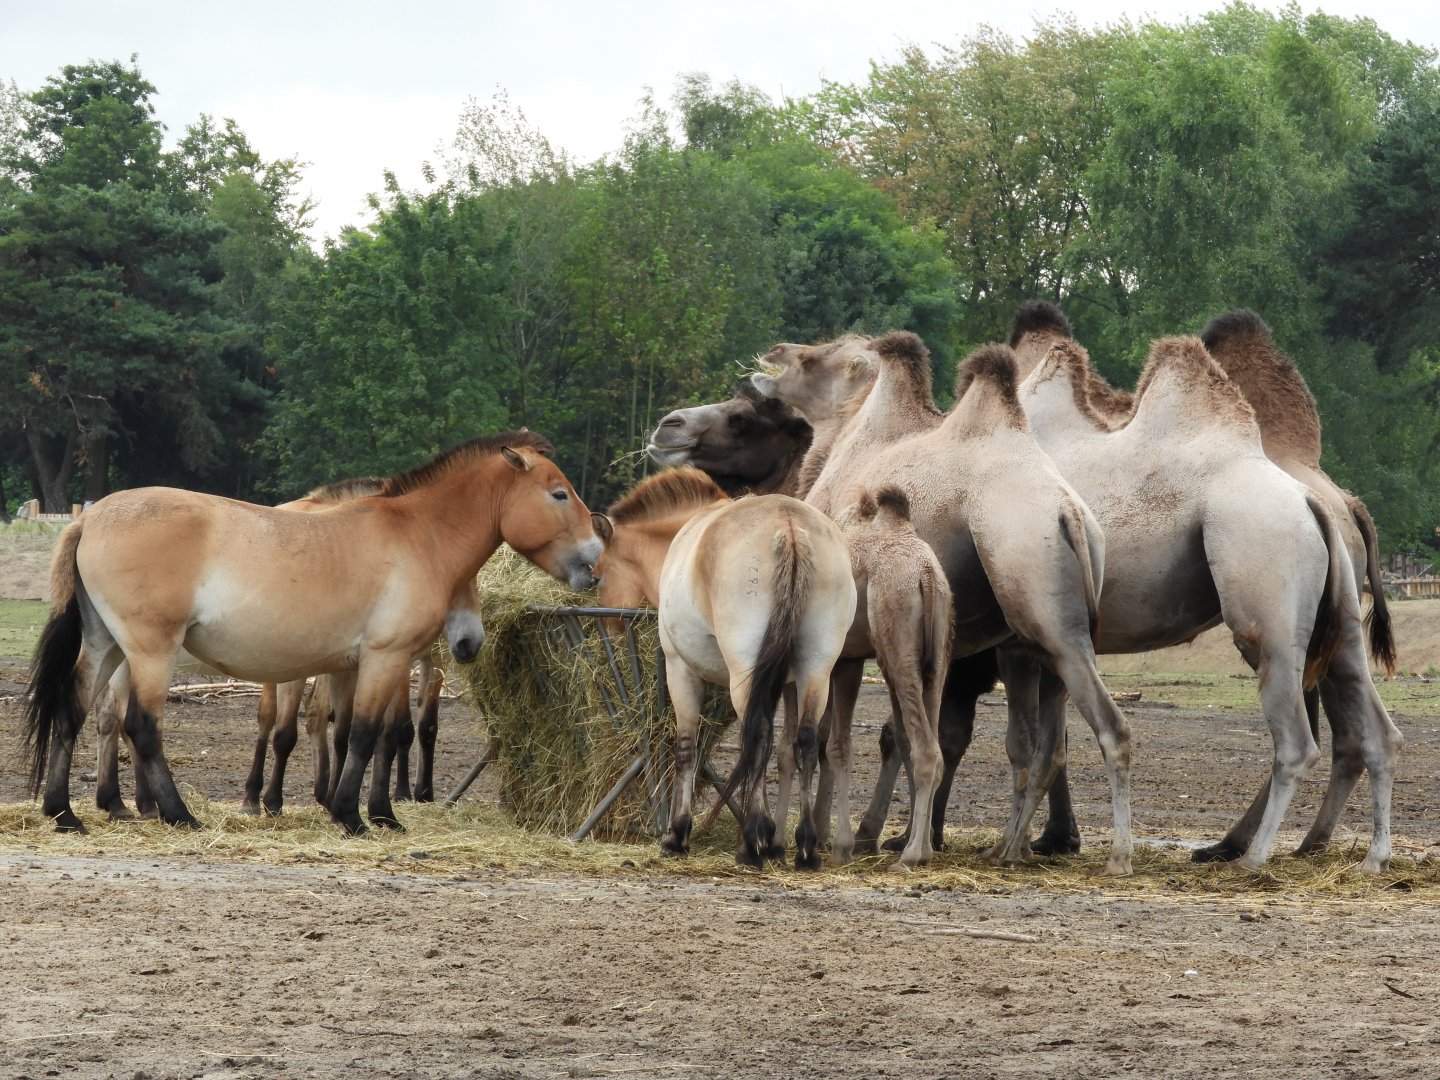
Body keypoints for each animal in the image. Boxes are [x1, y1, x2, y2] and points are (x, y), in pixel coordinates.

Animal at [24, 431, 602, 835]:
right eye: (558, 494)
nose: (594, 560)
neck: (414, 534)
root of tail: (89, 519)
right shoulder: (387, 658)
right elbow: (369, 736)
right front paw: (352, 817)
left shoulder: (354, 667)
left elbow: (363, 736)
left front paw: (381, 814)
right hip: (149, 650)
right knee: (140, 726)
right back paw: (177, 814)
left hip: (107, 646)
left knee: (73, 712)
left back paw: (64, 814)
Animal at [591, 469, 858, 868]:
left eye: (598, 576)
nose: (610, 630)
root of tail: (789, 525)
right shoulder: (782, 683)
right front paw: (774, 839)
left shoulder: (680, 669)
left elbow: (687, 748)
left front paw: (678, 835)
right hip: (816, 669)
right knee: (808, 742)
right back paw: (806, 847)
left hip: (743, 672)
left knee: (756, 734)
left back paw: (751, 841)